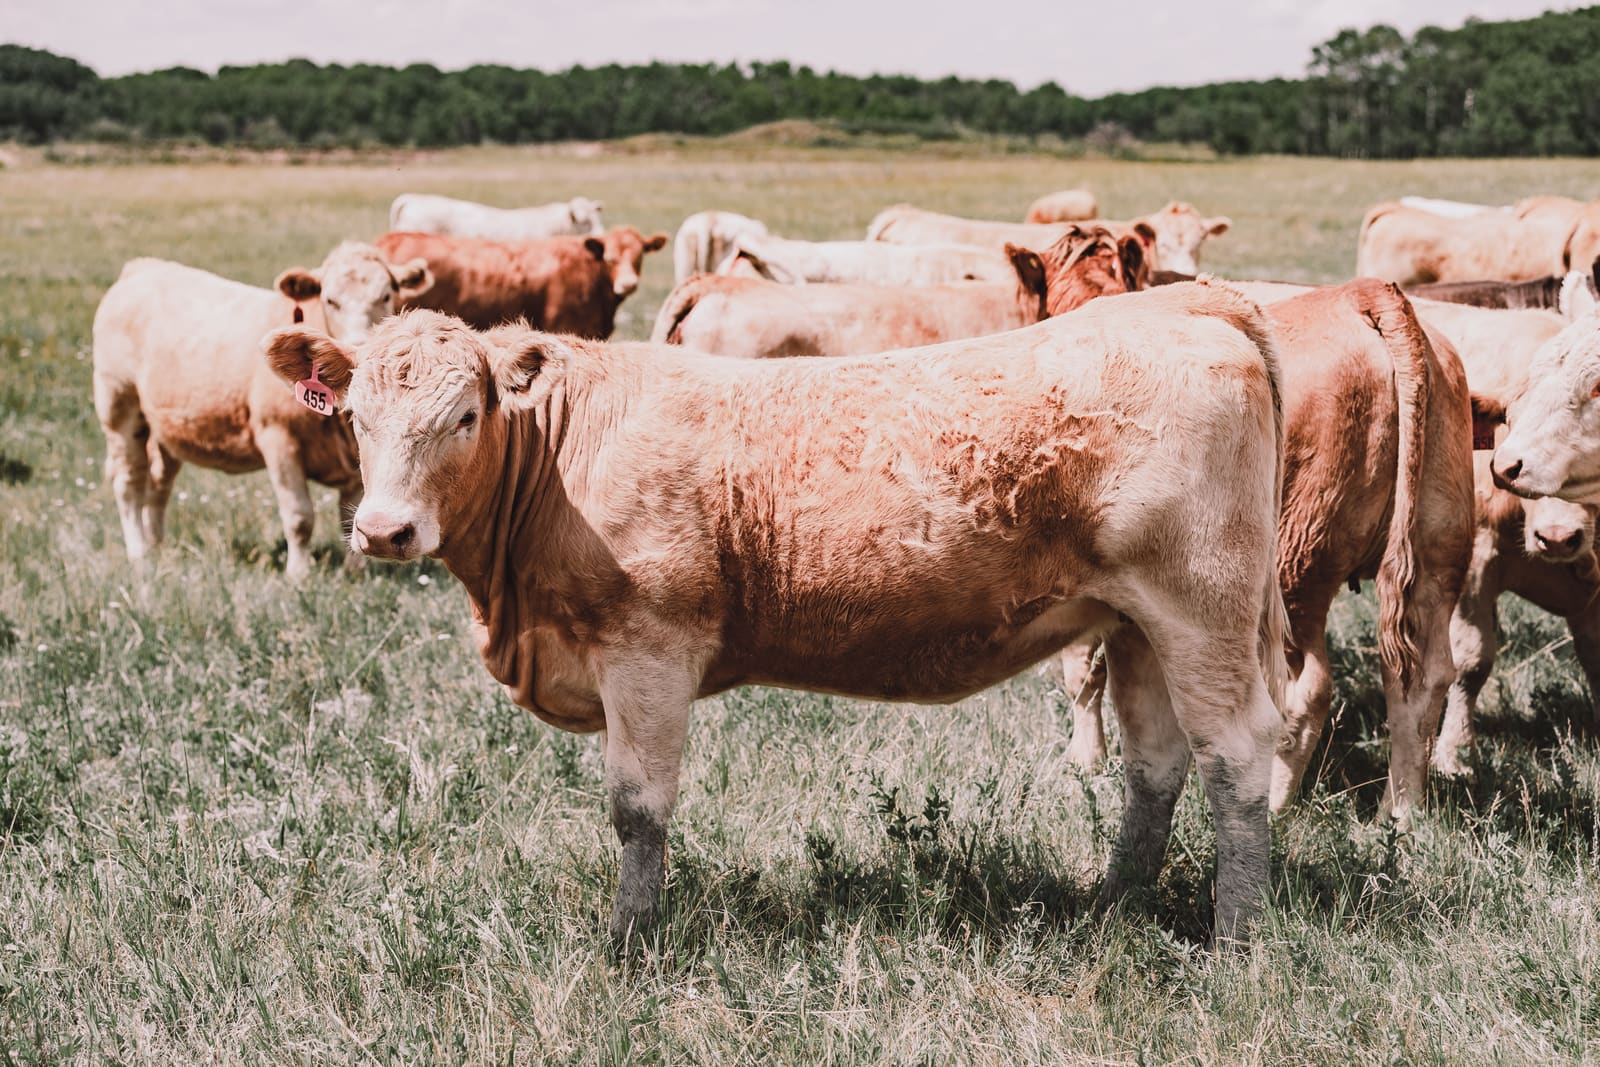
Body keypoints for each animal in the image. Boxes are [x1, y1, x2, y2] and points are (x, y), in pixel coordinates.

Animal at [92, 244, 433, 579]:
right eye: (330, 300)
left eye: (386, 295)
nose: (359, 346)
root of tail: (142, 267)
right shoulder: (278, 438)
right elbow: (299, 516)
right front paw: (298, 574)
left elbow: (349, 514)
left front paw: (355, 573)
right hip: (119, 408)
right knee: (130, 482)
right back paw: (139, 553)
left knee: (159, 483)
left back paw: (158, 545)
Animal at [262, 281, 1290, 948]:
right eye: (353, 416)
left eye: (466, 415)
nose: (384, 529)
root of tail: (1190, 301)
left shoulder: (647, 651)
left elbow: (637, 808)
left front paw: (628, 944)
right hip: (1135, 623)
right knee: (1156, 766)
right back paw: (1111, 906)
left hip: (1201, 610)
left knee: (1236, 760)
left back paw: (1236, 939)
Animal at [1056, 277, 1475, 825]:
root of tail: (1360, 293)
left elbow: (1083, 670)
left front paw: (1084, 762)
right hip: (1436, 555)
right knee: (1423, 680)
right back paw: (1400, 815)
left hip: (1294, 563)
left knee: (1306, 689)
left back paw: (1274, 803)